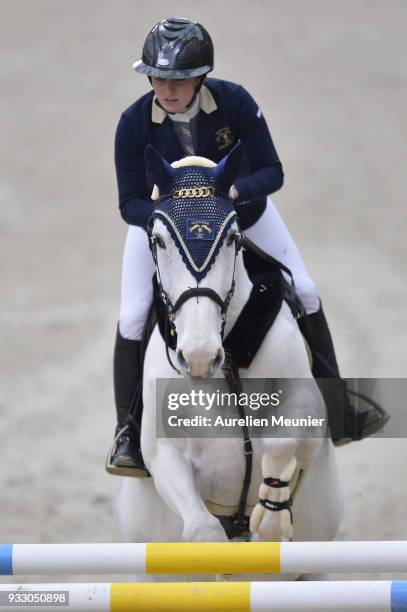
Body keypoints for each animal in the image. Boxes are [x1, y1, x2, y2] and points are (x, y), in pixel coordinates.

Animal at [115, 146, 344, 580]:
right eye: (158, 241)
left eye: (233, 238)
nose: (199, 358)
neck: (228, 369)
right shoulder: (161, 453)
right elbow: (203, 533)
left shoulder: (308, 409)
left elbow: (285, 440)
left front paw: (270, 522)